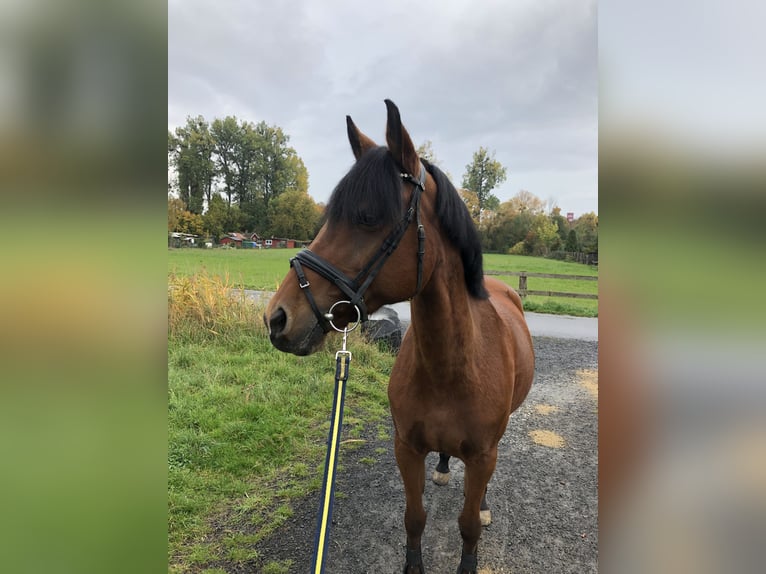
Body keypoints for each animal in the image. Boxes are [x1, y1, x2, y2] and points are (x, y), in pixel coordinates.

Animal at [268, 101, 536, 572]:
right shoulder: (406, 449)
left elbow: (468, 525)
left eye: (368, 217)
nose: (278, 317)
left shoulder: (483, 455)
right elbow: (414, 517)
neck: (451, 368)